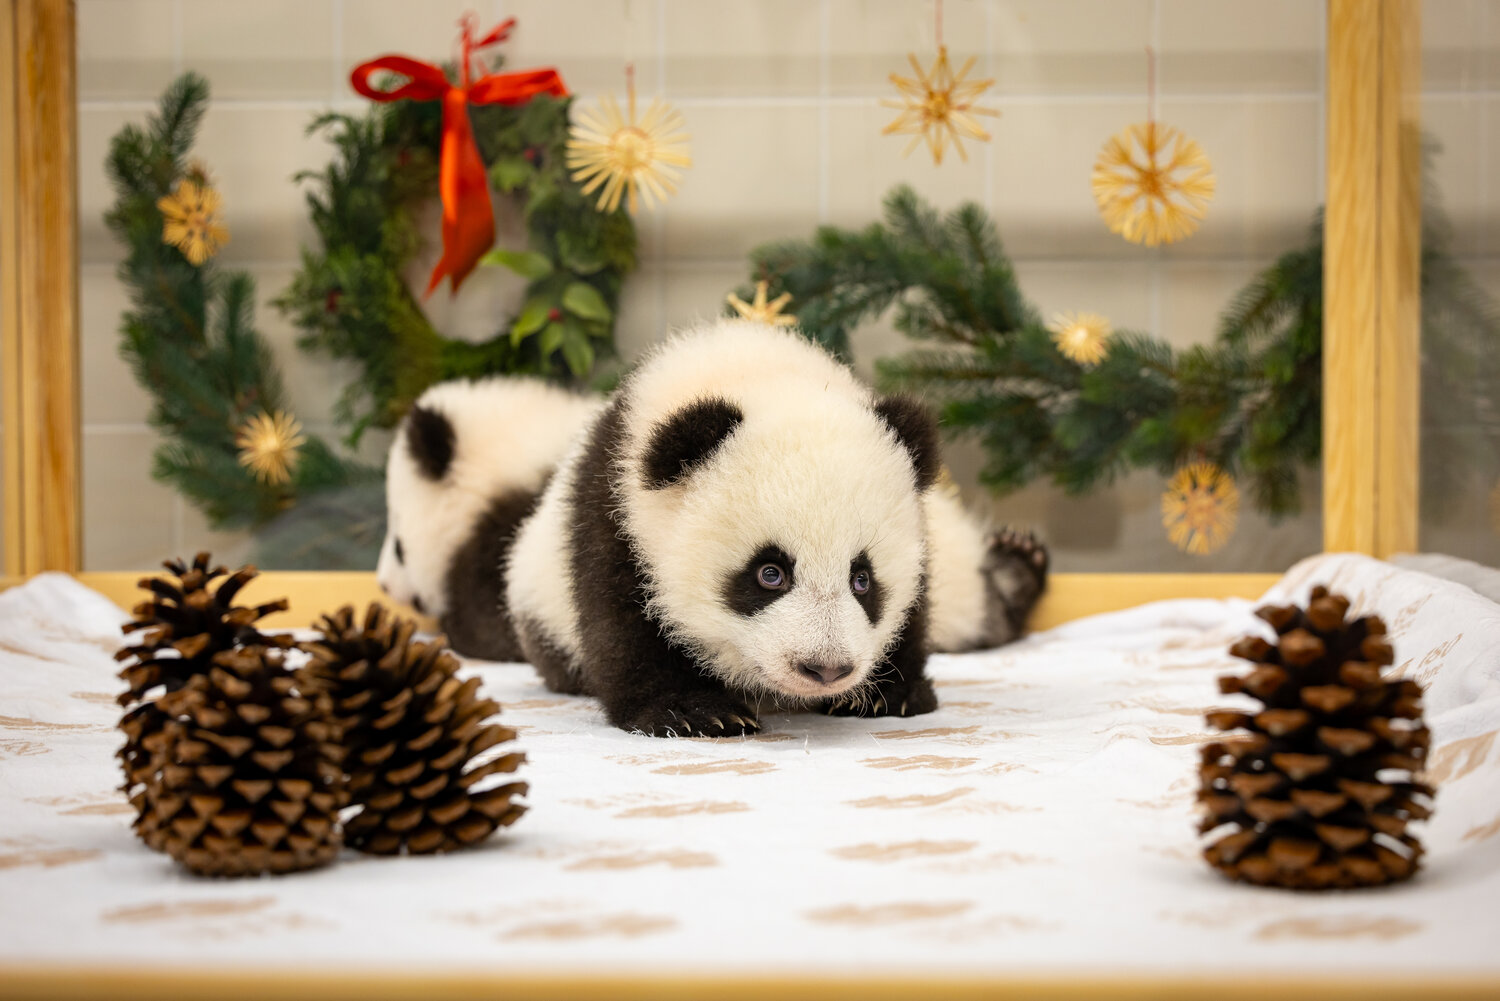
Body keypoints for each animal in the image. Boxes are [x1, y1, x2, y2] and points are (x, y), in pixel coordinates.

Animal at [505, 319, 1047, 737]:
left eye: (863, 579)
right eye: (770, 574)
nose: (826, 669)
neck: (753, 370)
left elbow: (915, 609)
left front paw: (887, 695)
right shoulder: (614, 508)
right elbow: (620, 618)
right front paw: (693, 712)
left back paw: (1017, 571)